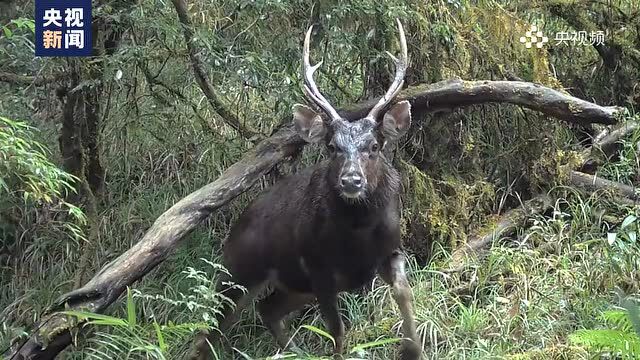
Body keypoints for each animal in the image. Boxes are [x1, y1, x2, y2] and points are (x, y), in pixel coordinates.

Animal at [190, 19, 420, 360]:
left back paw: (293, 351)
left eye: (375, 146)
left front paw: (413, 348)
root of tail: (236, 227)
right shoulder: (317, 267)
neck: (359, 234)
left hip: (292, 285)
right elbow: (337, 330)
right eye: (332, 147)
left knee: (266, 308)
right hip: (238, 271)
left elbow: (405, 291)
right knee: (208, 330)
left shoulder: (390, 249)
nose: (351, 181)